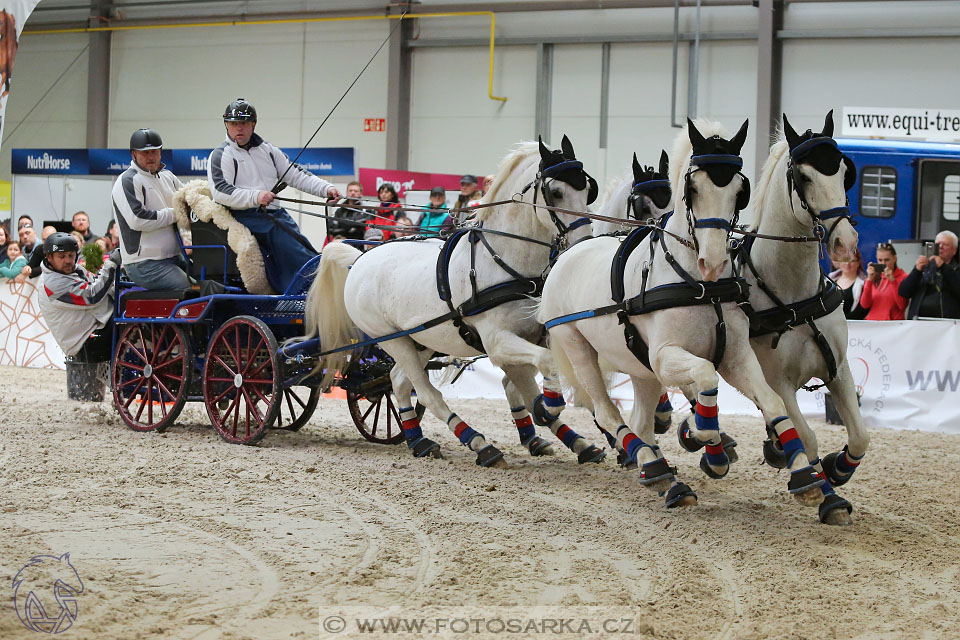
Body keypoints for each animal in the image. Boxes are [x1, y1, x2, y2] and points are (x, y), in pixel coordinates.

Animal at [304, 136, 608, 464]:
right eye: (556, 192)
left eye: (587, 189)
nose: (583, 243)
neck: (505, 262)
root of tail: (359, 259)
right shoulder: (497, 343)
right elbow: (544, 367)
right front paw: (548, 407)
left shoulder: (538, 334)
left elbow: (542, 378)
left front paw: (578, 437)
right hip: (392, 339)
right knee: (426, 392)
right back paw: (478, 443)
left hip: (422, 340)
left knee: (399, 381)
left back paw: (419, 441)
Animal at [536, 116, 828, 516]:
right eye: (692, 187)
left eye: (740, 190)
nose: (714, 261)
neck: (701, 286)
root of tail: (569, 253)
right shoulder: (665, 357)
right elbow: (705, 377)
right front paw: (705, 437)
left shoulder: (736, 356)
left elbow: (771, 402)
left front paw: (803, 476)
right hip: (577, 347)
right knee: (607, 412)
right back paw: (657, 468)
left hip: (639, 366)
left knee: (640, 422)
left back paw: (662, 477)